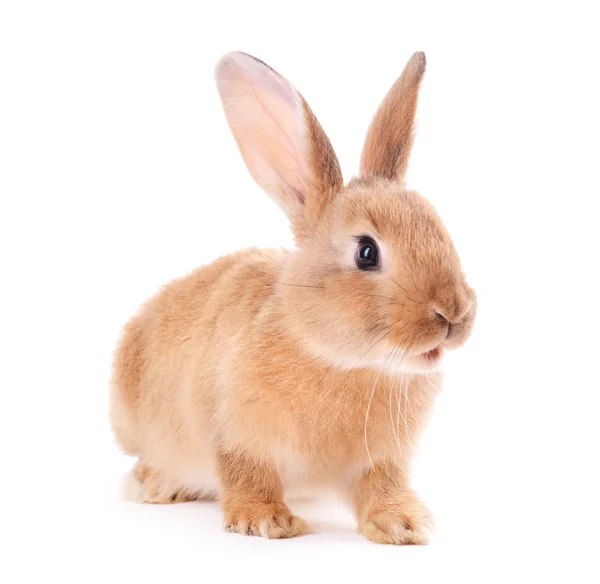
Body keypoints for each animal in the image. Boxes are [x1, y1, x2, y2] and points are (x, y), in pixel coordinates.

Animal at [111, 49, 478, 544]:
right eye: (366, 252)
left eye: (439, 226)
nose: (453, 313)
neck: (338, 360)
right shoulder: (238, 435)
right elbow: (246, 472)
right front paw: (265, 521)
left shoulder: (381, 460)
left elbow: (382, 487)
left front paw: (403, 524)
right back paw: (154, 485)